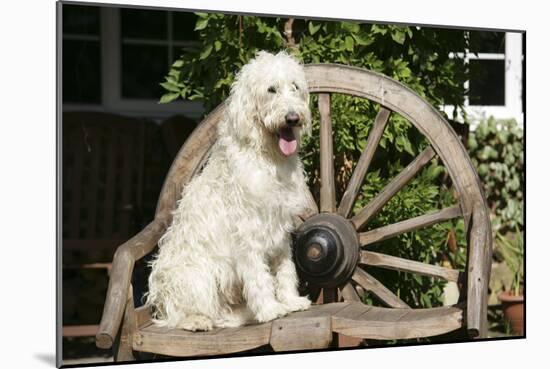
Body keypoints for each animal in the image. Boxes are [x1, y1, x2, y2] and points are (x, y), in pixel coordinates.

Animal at [147, 50, 316, 330]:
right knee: (179, 315)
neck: (266, 158)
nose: (293, 118)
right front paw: (270, 309)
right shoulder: (248, 234)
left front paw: (290, 301)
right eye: (271, 89)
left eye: (295, 87)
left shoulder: (279, 231)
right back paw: (197, 320)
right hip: (195, 275)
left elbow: (285, 269)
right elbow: (259, 277)